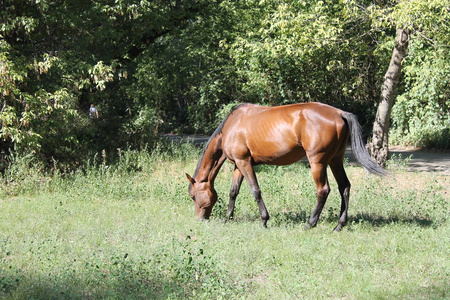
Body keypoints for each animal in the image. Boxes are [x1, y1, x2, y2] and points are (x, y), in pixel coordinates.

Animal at [185, 102, 384, 231]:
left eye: (193, 196)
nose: (200, 219)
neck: (232, 125)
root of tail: (339, 113)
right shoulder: (239, 165)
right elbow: (233, 192)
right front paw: (227, 218)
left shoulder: (244, 163)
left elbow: (255, 191)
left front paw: (264, 220)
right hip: (335, 160)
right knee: (344, 187)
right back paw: (339, 225)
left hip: (317, 162)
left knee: (323, 190)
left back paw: (310, 223)